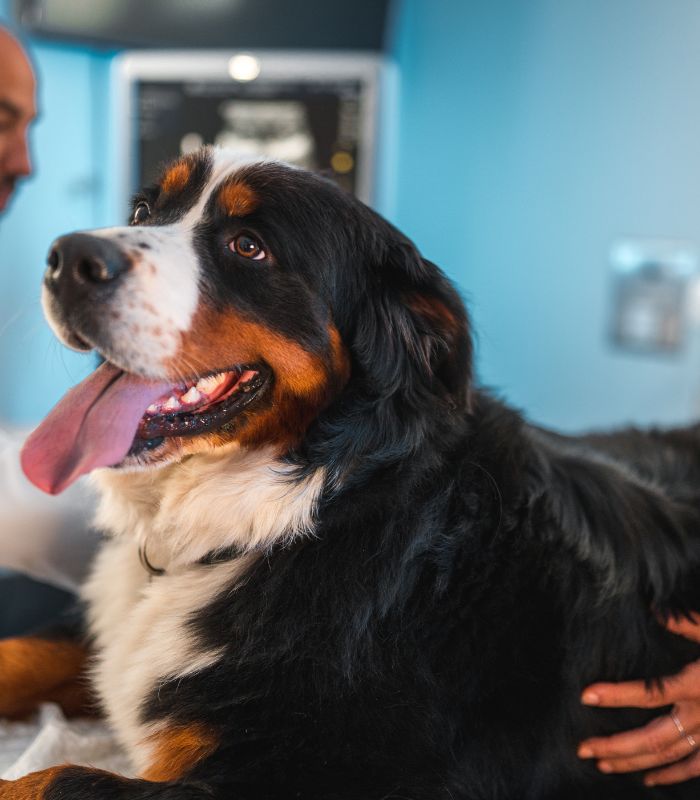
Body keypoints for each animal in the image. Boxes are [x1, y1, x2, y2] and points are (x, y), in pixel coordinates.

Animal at [8, 145, 700, 800]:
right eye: (143, 211)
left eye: (249, 246)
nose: (67, 257)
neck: (302, 509)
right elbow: (20, 651)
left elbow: (57, 778)